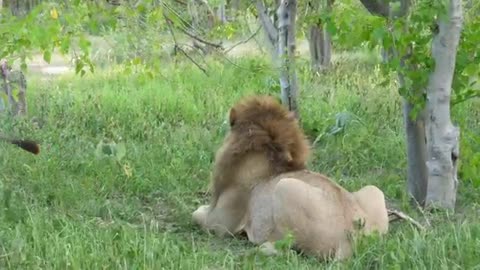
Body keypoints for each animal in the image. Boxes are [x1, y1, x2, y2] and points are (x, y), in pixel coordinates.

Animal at [192, 95, 390, 260]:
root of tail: (353, 237)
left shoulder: (221, 223)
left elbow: (196, 214)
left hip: (285, 187)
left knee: (289, 249)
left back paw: (262, 247)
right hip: (373, 190)